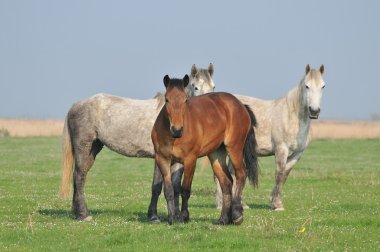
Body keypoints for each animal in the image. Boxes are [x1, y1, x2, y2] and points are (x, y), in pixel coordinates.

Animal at [58, 64, 214, 220]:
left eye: (213, 86)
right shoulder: (160, 158)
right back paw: (84, 215)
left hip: (94, 148)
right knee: (79, 176)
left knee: (80, 176)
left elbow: (175, 187)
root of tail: (76, 105)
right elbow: (157, 186)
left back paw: (78, 212)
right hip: (84, 147)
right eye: (195, 87)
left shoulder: (178, 162)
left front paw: (176, 216)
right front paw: (153, 216)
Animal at [151, 74, 258, 224]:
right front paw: (171, 218)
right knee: (226, 182)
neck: (173, 137)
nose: (177, 130)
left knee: (241, 174)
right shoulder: (162, 159)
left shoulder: (190, 160)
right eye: (167, 99)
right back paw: (224, 219)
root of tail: (241, 105)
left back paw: (237, 215)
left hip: (234, 148)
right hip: (216, 155)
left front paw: (184, 216)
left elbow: (185, 189)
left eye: (185, 100)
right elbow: (168, 190)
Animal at [215, 64, 326, 210]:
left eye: (323, 86)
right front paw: (277, 205)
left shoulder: (297, 153)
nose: (314, 111)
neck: (291, 116)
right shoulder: (281, 149)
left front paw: (274, 200)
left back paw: (241, 203)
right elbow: (279, 173)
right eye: (307, 86)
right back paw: (221, 203)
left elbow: (285, 174)